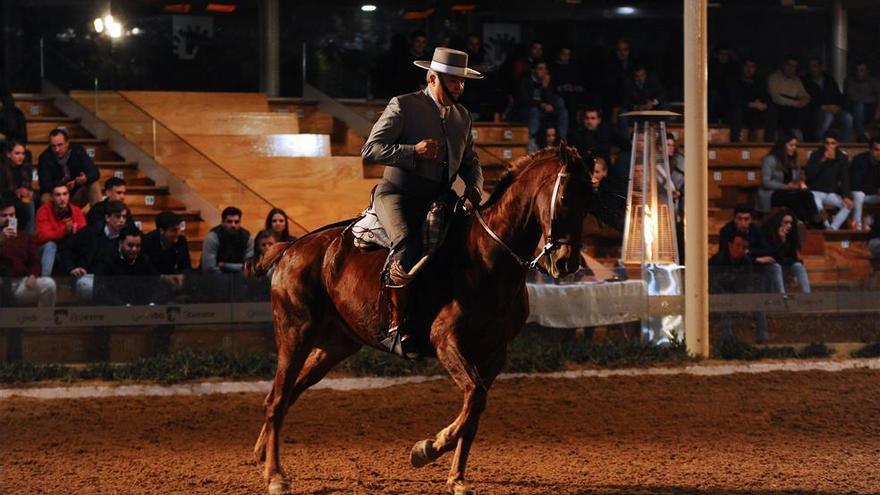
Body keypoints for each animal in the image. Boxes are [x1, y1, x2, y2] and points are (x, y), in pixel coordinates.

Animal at [249, 144, 592, 495]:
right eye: (564, 197)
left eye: (588, 199)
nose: (566, 262)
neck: (488, 259)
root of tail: (291, 247)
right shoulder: (446, 341)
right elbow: (473, 395)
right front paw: (427, 448)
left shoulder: (494, 353)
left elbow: (476, 409)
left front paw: (457, 478)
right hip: (295, 334)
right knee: (277, 399)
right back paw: (275, 475)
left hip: (334, 346)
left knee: (286, 394)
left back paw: (262, 456)